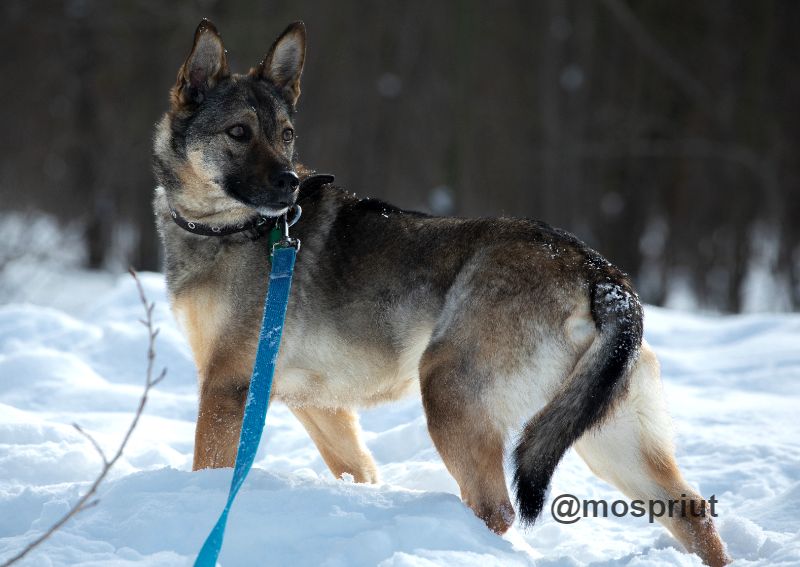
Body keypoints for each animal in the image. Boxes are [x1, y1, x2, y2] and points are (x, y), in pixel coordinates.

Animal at [152, 20, 732, 564]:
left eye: (286, 134)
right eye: (239, 132)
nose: (290, 184)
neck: (236, 228)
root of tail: (600, 275)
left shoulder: (228, 386)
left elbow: (208, 468)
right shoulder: (317, 406)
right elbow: (360, 469)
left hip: (448, 389)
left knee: (495, 509)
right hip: (605, 432)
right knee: (690, 511)